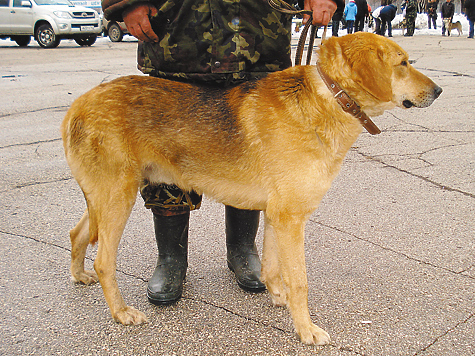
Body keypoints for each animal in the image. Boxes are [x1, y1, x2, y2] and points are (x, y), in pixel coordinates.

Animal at [62, 33, 442, 344]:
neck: (330, 99)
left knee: (76, 233)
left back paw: (79, 275)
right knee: (104, 261)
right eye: (403, 63)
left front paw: (277, 296)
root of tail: (76, 106)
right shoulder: (291, 219)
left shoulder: (278, 215)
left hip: (105, 198)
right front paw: (306, 330)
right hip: (119, 198)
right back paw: (121, 312)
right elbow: (300, 281)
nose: (439, 91)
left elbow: (272, 266)